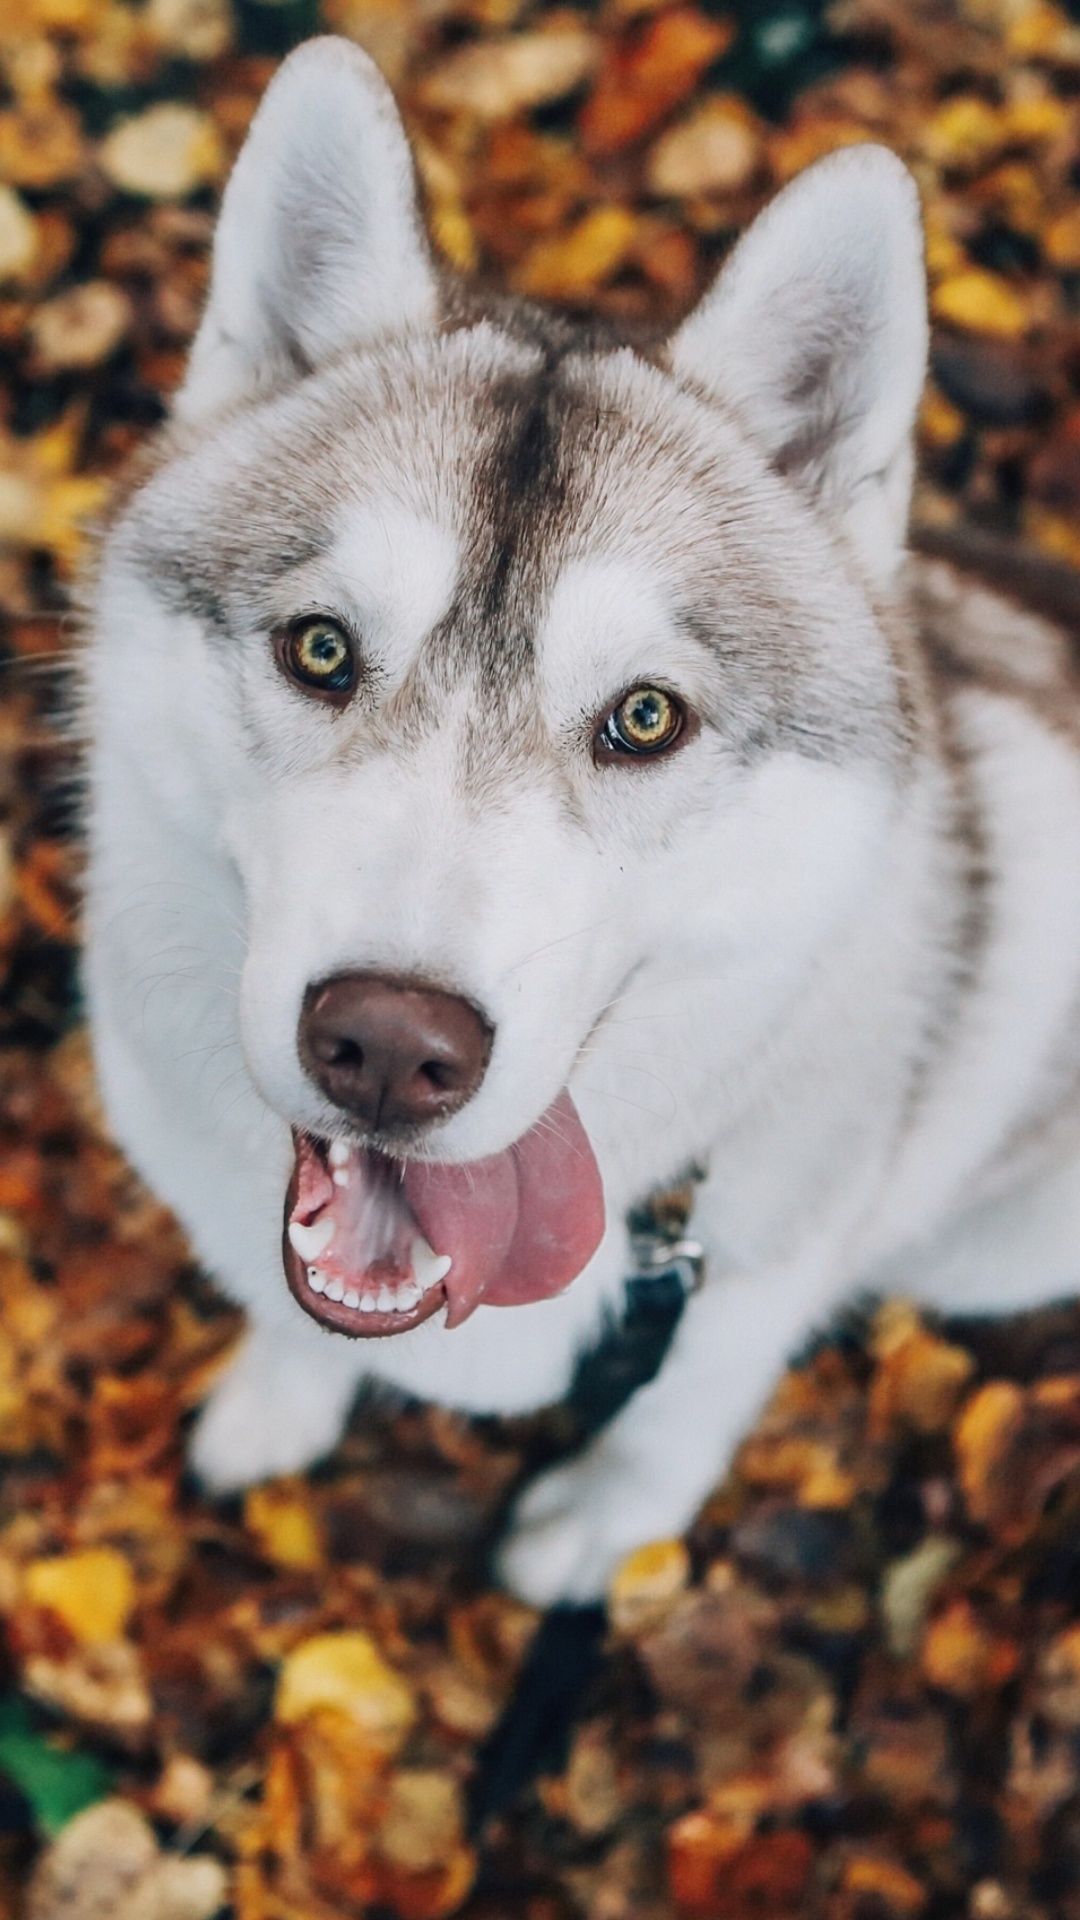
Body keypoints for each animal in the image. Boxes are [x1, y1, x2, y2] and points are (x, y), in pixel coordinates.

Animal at [79, 41, 1076, 1605]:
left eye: (646, 718)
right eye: (320, 649)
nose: (389, 1047)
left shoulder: (753, 1282)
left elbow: (682, 1409)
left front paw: (607, 1525)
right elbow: (297, 1320)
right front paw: (278, 1398)